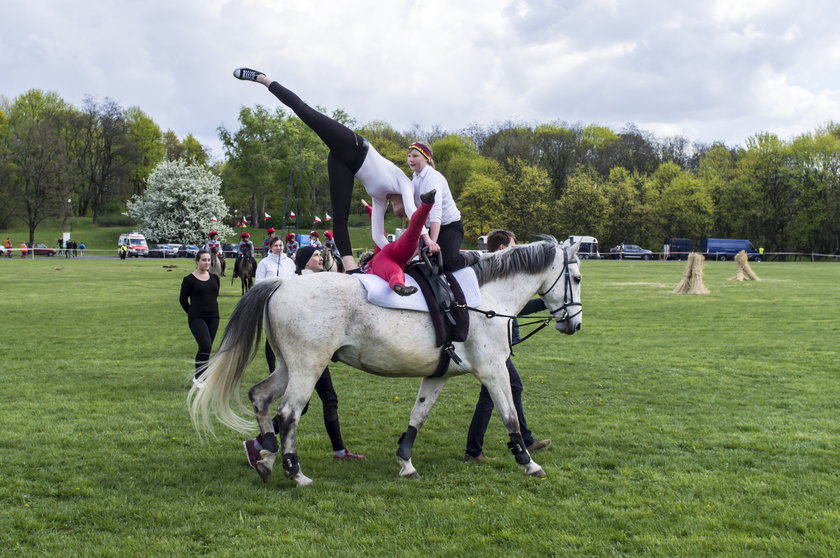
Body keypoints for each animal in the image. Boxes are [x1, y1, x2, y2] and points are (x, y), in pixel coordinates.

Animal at [190, 238, 584, 488]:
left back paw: (266, 458)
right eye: (577, 278)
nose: (574, 324)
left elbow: (418, 415)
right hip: (307, 368)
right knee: (287, 414)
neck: (484, 298)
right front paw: (528, 462)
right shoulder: (493, 370)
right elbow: (510, 415)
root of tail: (281, 283)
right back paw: (294, 472)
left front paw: (405, 462)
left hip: (288, 367)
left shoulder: (438, 374)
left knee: (261, 398)